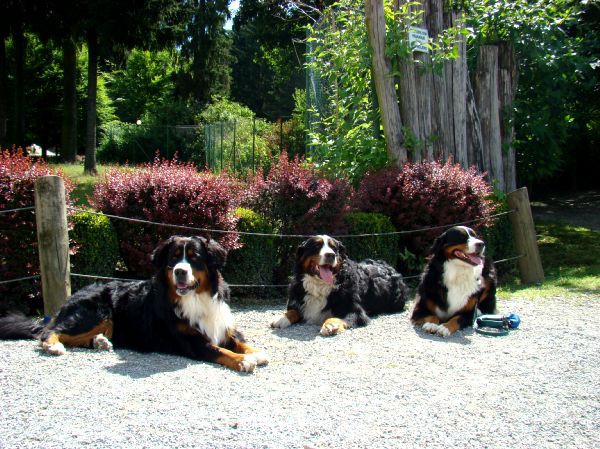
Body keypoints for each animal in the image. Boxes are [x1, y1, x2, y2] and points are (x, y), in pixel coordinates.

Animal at [0, 234, 268, 372]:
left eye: (195, 257)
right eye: (173, 259)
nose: (180, 272)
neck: (195, 298)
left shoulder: (223, 327)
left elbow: (240, 342)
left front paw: (256, 354)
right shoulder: (189, 339)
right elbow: (219, 350)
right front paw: (243, 361)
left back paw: (99, 342)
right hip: (97, 312)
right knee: (49, 331)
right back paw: (54, 346)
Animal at [270, 234, 408, 336]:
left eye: (334, 248)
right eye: (316, 246)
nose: (331, 255)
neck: (320, 285)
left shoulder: (354, 310)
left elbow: (340, 317)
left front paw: (330, 324)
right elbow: (293, 311)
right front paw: (281, 318)